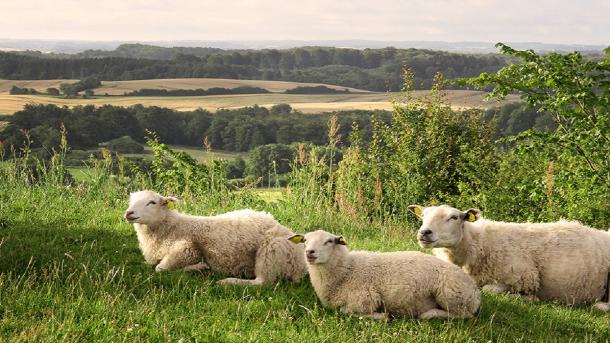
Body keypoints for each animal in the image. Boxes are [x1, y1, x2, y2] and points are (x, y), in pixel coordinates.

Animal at [123, 192, 306, 286]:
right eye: (131, 201)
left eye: (152, 202)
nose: (129, 213)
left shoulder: (186, 249)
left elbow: (159, 269)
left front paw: (198, 267)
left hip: (271, 251)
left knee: (262, 282)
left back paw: (228, 281)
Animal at [286, 230, 480, 322]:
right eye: (305, 240)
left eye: (329, 241)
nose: (309, 253)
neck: (347, 270)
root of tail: (475, 290)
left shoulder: (365, 300)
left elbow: (346, 311)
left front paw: (383, 317)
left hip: (451, 295)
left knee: (464, 315)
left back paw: (429, 314)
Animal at [406, 206, 608, 314]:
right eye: (423, 216)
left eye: (454, 217)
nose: (424, 232)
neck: (478, 243)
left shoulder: (524, 277)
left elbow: (489, 289)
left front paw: (529, 298)